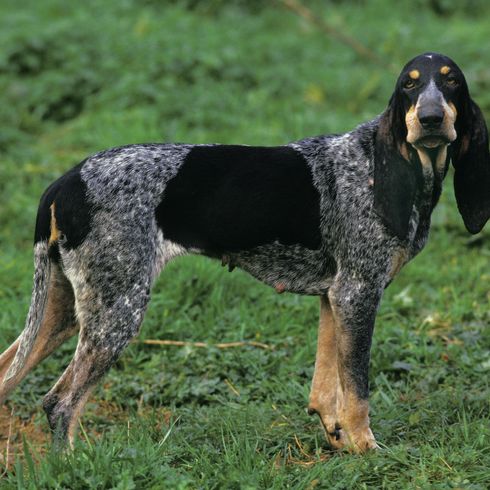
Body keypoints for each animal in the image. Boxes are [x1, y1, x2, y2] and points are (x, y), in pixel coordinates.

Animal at [0, 52, 488, 452]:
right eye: (408, 84)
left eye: (452, 82)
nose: (429, 118)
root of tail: (65, 181)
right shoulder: (358, 293)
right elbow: (358, 389)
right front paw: (367, 449)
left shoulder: (334, 298)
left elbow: (326, 387)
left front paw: (340, 441)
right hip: (116, 313)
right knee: (60, 403)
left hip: (64, 312)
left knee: (10, 376)